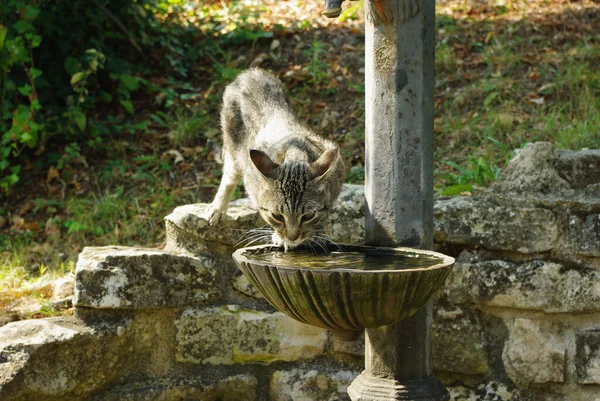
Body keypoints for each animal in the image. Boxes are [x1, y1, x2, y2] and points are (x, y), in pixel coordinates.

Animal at [206, 69, 344, 250]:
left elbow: (325, 214)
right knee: (228, 178)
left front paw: (320, 231)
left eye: (308, 216)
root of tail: (249, 72)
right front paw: (281, 237)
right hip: (233, 149)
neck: (295, 152)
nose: (293, 237)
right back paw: (218, 208)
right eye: (277, 216)